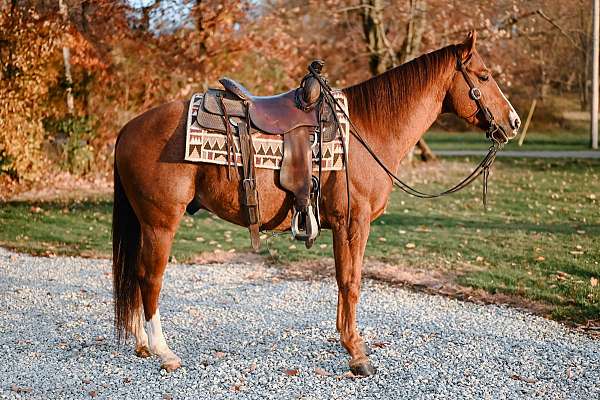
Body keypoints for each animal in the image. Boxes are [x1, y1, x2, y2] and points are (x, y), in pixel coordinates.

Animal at [111, 31, 520, 376]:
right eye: (484, 77)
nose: (514, 122)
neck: (366, 130)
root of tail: (127, 128)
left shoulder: (346, 225)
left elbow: (344, 280)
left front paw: (349, 344)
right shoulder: (353, 223)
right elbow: (350, 281)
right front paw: (357, 354)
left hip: (145, 223)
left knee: (135, 275)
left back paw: (142, 345)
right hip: (160, 222)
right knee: (150, 278)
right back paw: (164, 352)